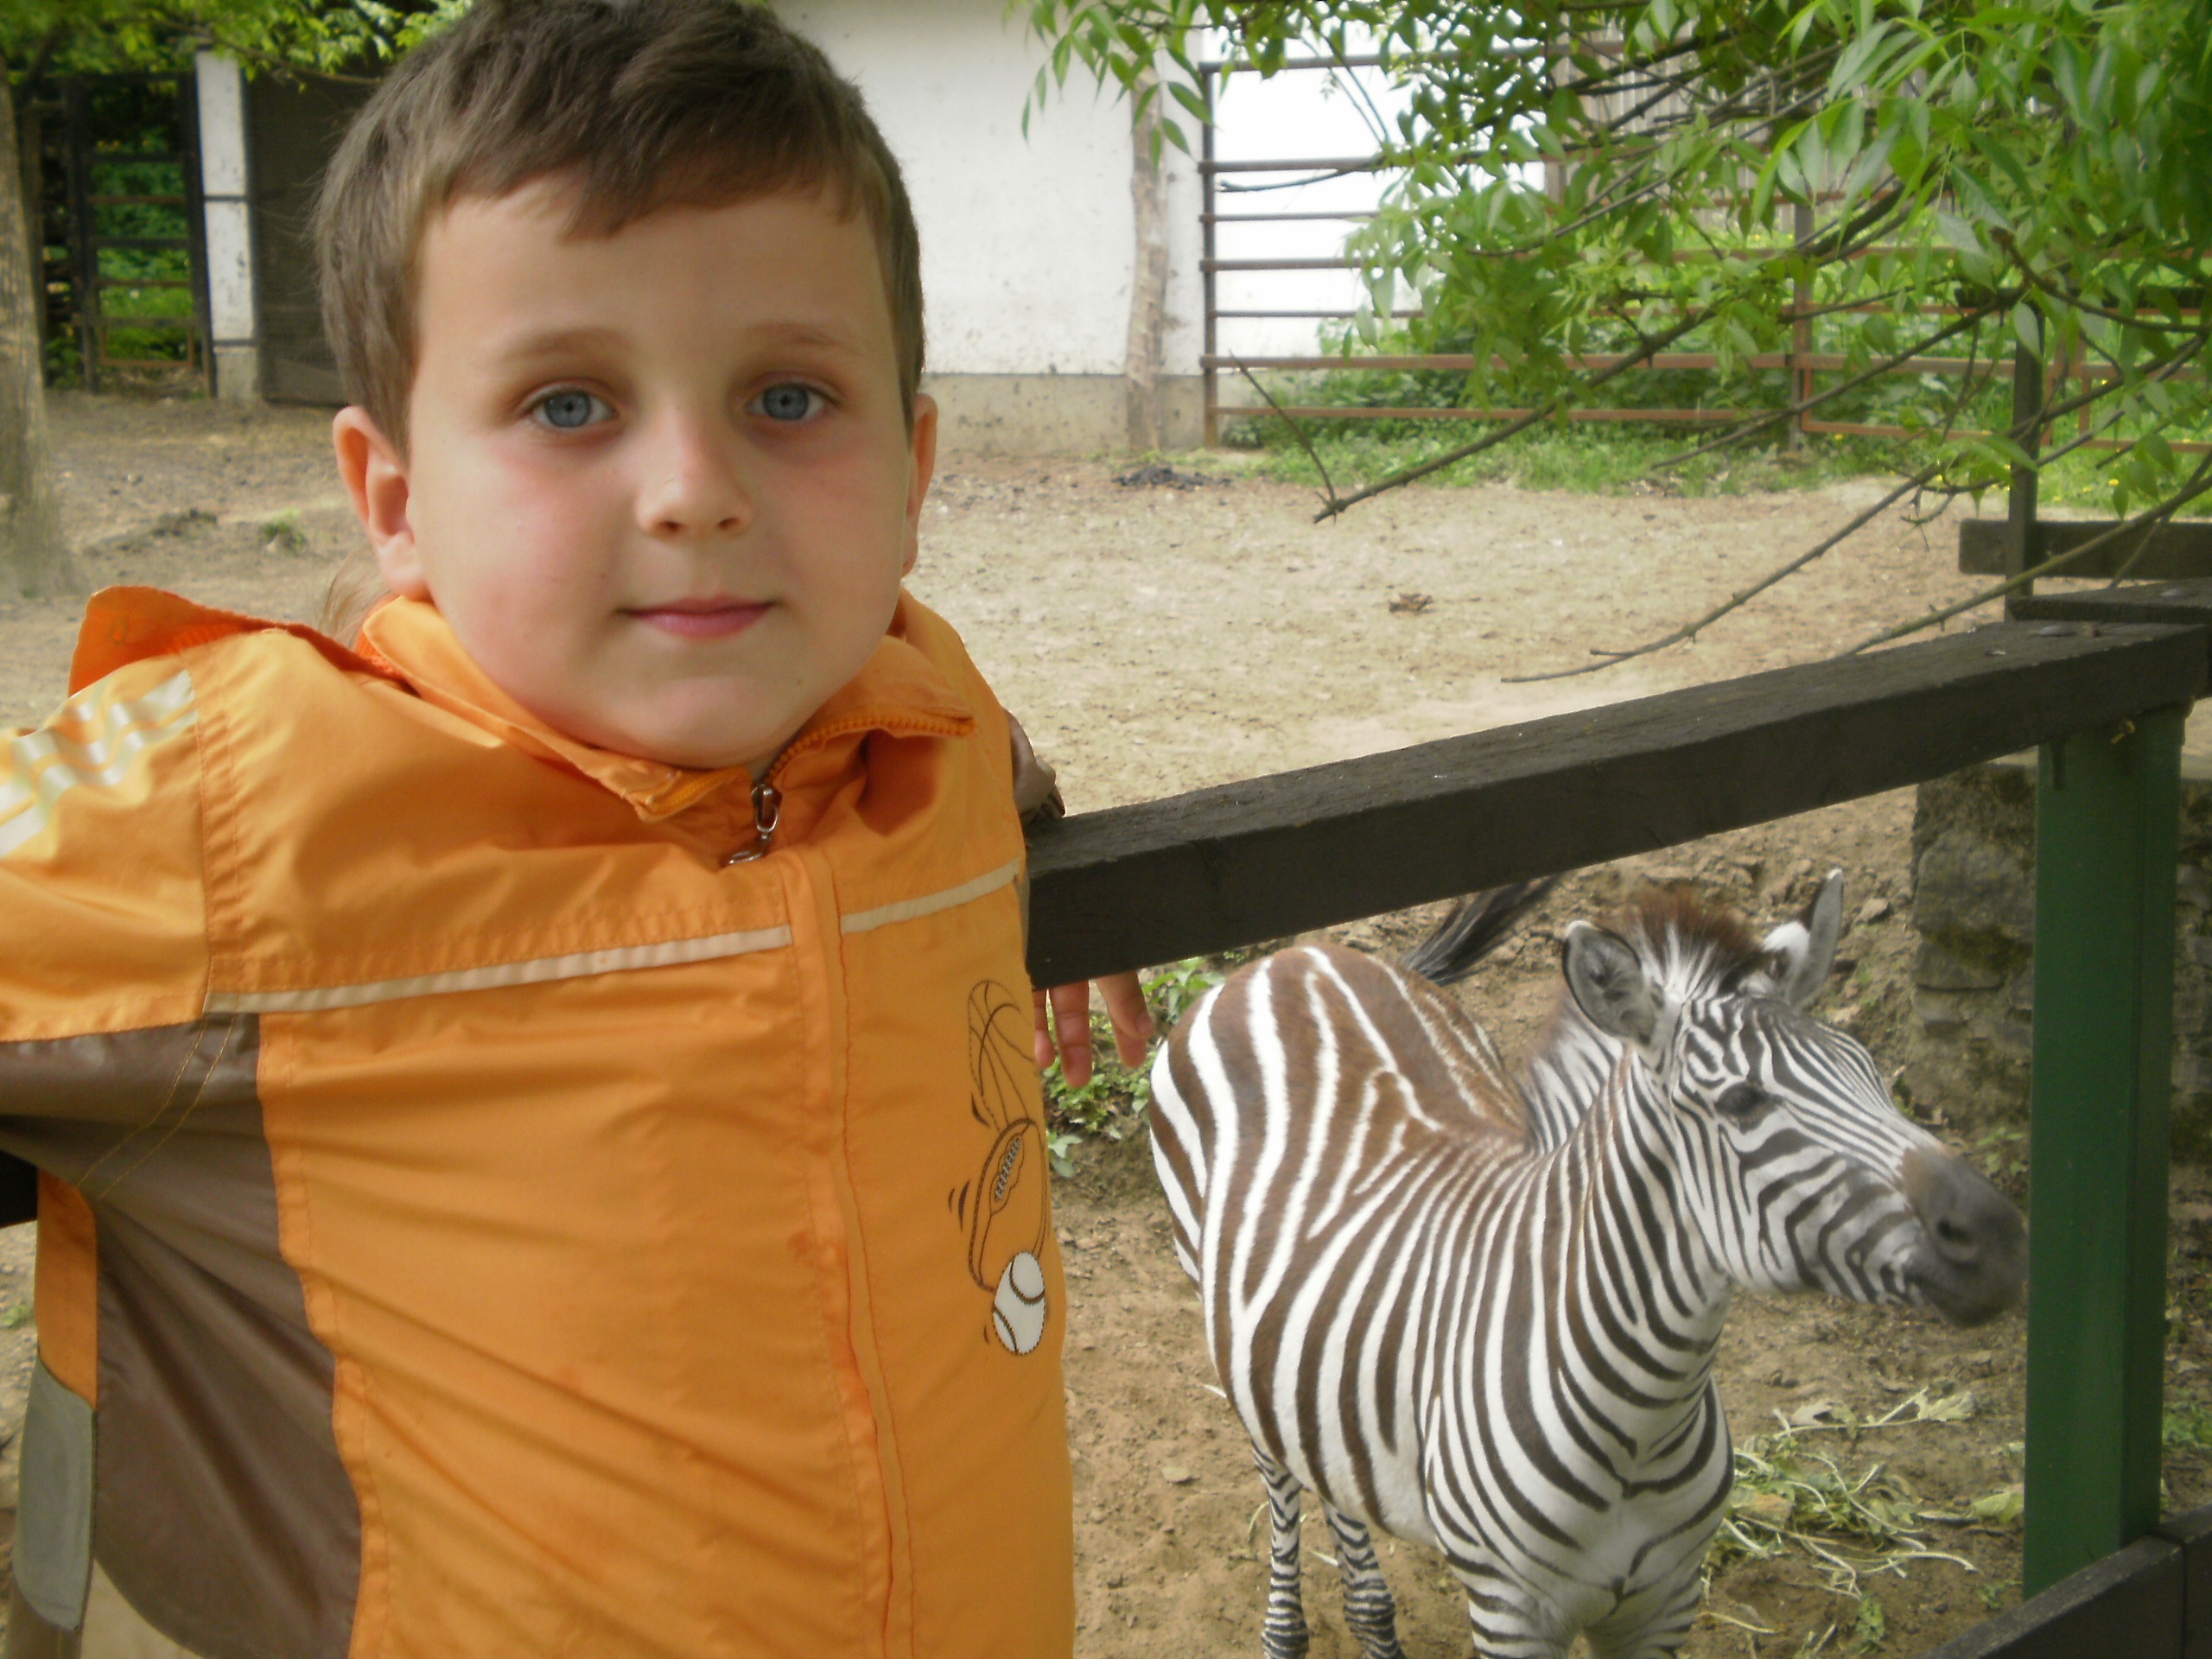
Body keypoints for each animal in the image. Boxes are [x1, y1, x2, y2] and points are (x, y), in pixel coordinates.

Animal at [1148, 873, 2026, 1659]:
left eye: (1871, 1072)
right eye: (1743, 1104)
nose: (1999, 1234)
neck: (1645, 1421)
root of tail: (1295, 956)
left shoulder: (1666, 1603)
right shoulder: (1511, 1614)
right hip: (1223, 1311)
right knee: (1282, 1469)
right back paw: (1298, 1631)